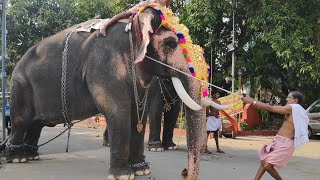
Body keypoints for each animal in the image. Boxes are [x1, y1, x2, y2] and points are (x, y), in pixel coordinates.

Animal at [0, 5, 226, 180]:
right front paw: (123, 175)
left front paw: (142, 170)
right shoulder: (104, 65)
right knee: (21, 121)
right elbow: (119, 111)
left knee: (36, 124)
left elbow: (139, 115)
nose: (184, 172)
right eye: (171, 43)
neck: (134, 27)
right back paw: (18, 158)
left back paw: (31, 156)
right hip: (20, 85)